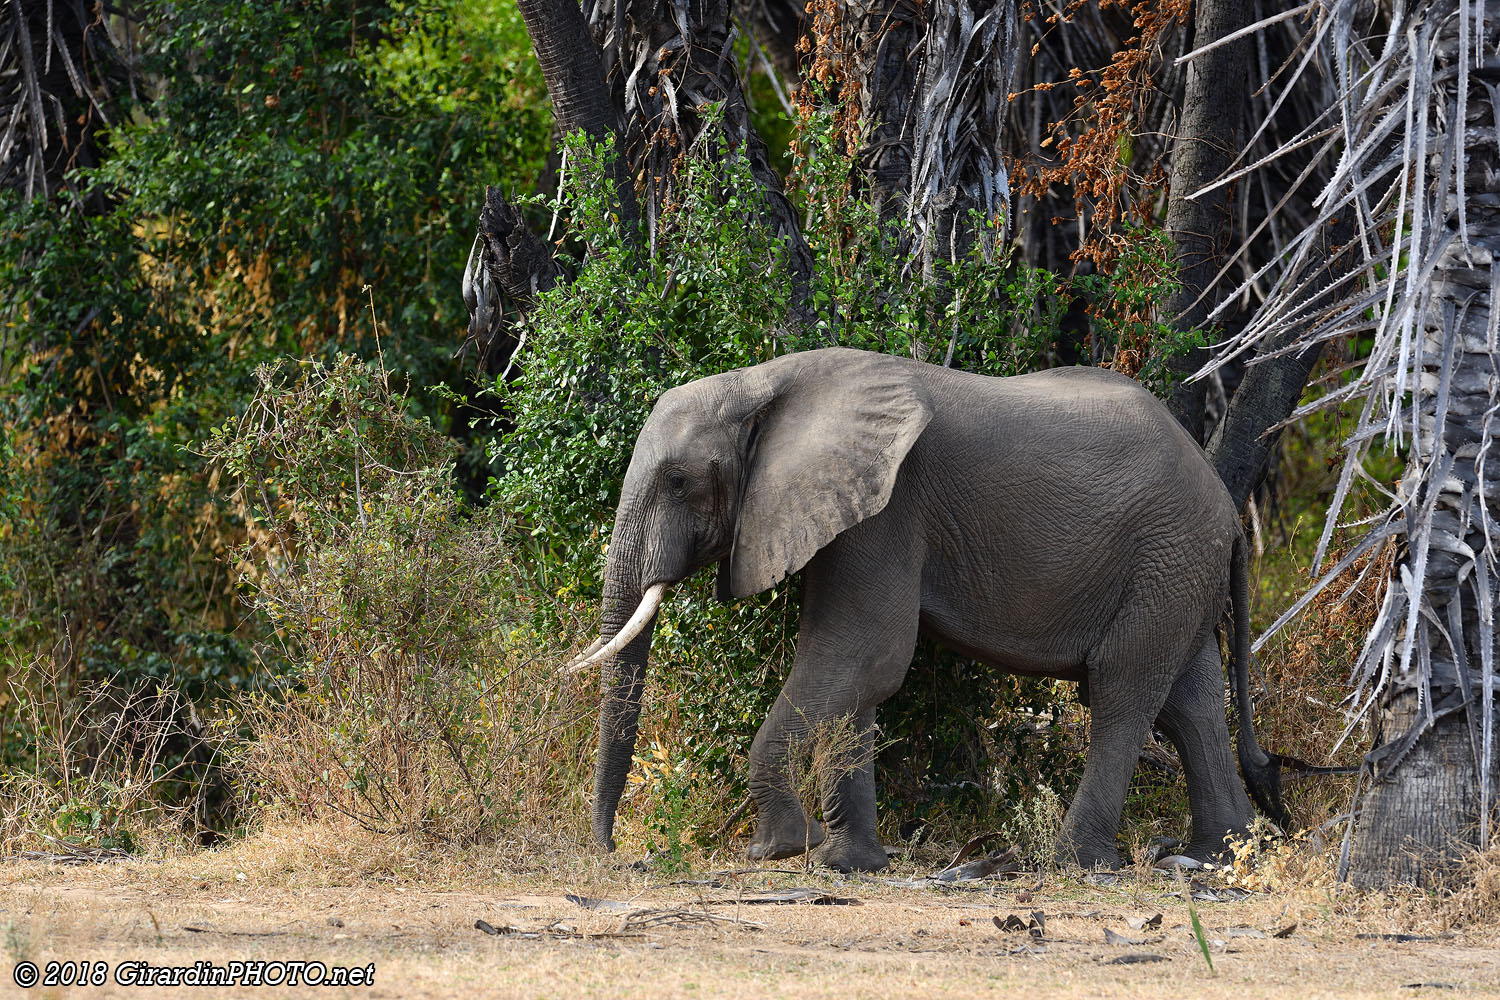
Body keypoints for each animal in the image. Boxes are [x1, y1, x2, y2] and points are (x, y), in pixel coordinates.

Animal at [567, 347, 1284, 872]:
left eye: (679, 481)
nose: (610, 853)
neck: (762, 383)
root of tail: (1226, 506)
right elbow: (851, 672)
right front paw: (847, 864)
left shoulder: (889, 512)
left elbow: (865, 656)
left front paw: (784, 848)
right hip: (1176, 569)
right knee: (1190, 699)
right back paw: (1218, 856)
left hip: (1168, 555)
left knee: (1122, 692)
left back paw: (1071, 862)